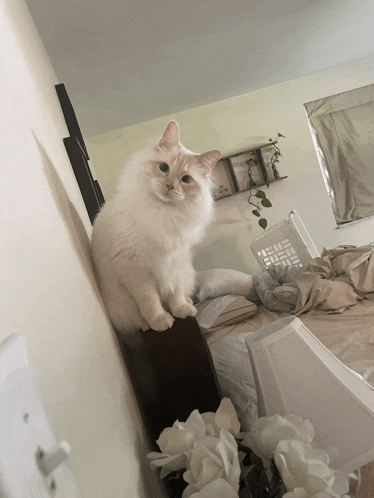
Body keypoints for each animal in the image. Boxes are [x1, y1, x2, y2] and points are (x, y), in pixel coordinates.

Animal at [90, 121, 219, 334]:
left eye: (186, 180)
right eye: (163, 167)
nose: (170, 186)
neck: (163, 212)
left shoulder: (174, 261)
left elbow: (175, 293)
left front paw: (181, 310)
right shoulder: (135, 269)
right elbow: (150, 302)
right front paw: (161, 321)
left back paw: (189, 304)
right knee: (135, 320)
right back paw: (146, 326)